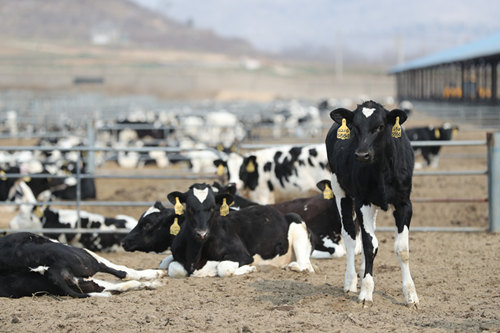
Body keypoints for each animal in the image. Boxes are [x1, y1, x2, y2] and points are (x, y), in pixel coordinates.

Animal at [326, 99, 420, 306]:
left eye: (380, 126)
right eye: (355, 127)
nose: (362, 155)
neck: (382, 170)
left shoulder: (404, 204)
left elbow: (402, 249)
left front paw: (411, 294)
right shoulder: (363, 202)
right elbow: (370, 246)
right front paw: (366, 292)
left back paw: (361, 272)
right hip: (340, 191)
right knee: (350, 236)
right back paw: (351, 280)